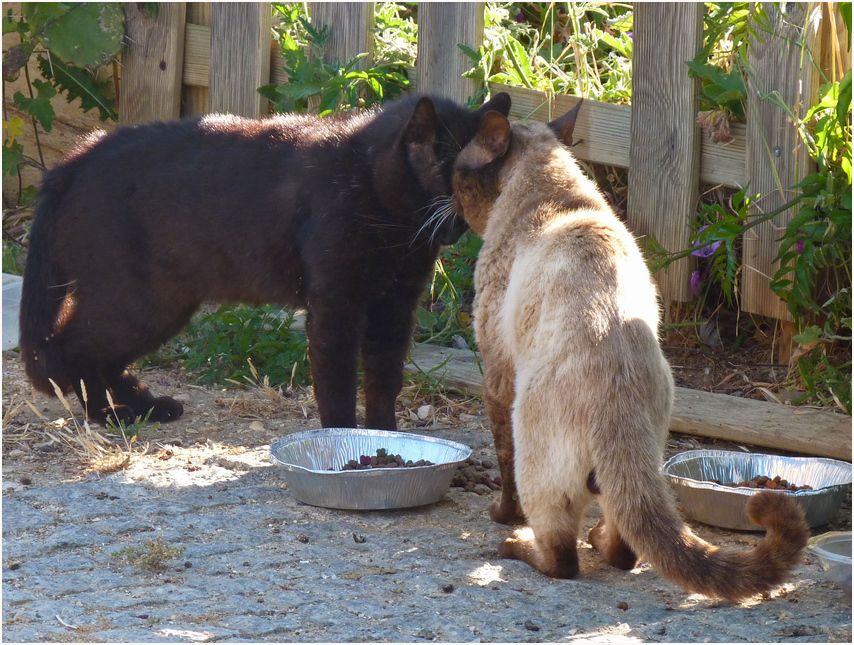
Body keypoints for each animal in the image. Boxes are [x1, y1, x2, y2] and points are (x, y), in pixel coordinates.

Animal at [20, 92, 512, 428]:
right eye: (454, 175)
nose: (467, 217)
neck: (395, 226)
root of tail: (73, 160)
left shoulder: (395, 308)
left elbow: (383, 381)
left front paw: (385, 441)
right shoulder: (335, 306)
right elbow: (336, 382)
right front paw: (342, 442)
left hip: (162, 306)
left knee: (100, 357)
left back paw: (145, 406)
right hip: (137, 302)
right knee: (74, 348)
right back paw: (110, 415)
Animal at [452, 103, 812, 600]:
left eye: (456, 179)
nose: (450, 207)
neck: (554, 195)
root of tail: (618, 401)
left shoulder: (497, 371)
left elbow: (502, 461)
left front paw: (502, 516)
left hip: (535, 447)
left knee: (562, 557)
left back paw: (518, 544)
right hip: (642, 445)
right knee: (624, 545)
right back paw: (598, 539)